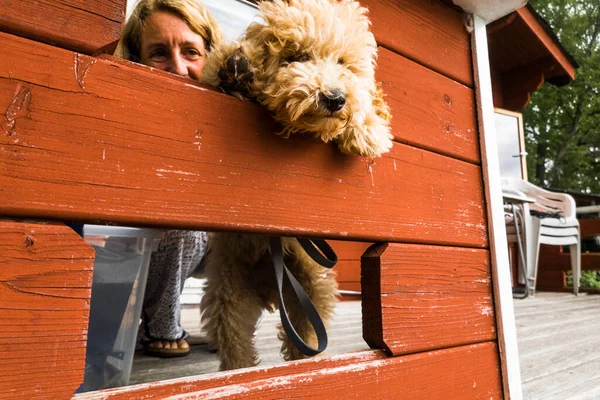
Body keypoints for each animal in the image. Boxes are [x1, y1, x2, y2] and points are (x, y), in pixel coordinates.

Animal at [199, 0, 392, 372]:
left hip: (311, 290)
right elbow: (216, 68)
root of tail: (270, 287)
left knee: (303, 338)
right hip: (229, 295)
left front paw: (365, 129)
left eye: (343, 63)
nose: (335, 98)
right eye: (298, 57)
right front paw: (236, 66)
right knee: (236, 346)